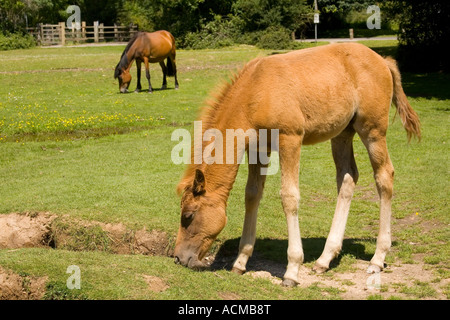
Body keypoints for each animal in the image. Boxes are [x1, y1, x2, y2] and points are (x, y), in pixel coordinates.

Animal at [174, 43, 420, 288]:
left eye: (188, 215)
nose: (178, 258)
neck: (256, 91)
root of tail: (382, 61)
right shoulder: (258, 148)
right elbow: (252, 195)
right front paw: (241, 261)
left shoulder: (290, 139)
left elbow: (289, 197)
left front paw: (292, 270)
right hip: (342, 132)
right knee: (347, 178)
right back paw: (324, 259)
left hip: (372, 130)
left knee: (384, 176)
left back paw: (377, 258)